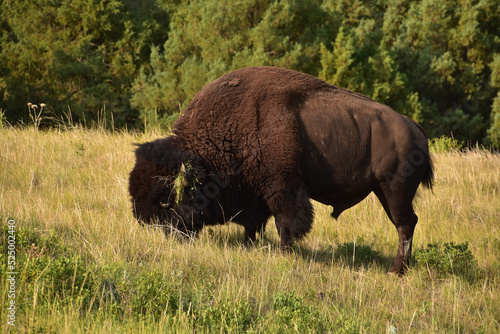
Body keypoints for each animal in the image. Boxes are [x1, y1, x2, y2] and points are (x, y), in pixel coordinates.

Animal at [130, 66, 434, 276]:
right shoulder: (256, 196)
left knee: (405, 225)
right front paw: (250, 245)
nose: (147, 222)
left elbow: (286, 223)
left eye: (166, 200)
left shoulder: (283, 190)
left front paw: (284, 253)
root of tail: (414, 128)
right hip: (383, 191)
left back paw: (396, 271)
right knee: (407, 223)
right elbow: (254, 224)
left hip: (394, 191)